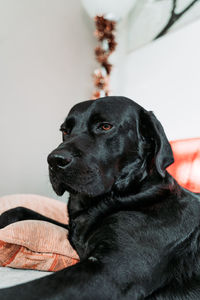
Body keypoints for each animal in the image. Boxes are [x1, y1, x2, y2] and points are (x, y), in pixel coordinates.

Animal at [0, 97, 200, 298]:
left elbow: (28, 289)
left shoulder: (109, 272)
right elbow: (20, 209)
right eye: (65, 130)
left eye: (105, 126)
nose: (54, 160)